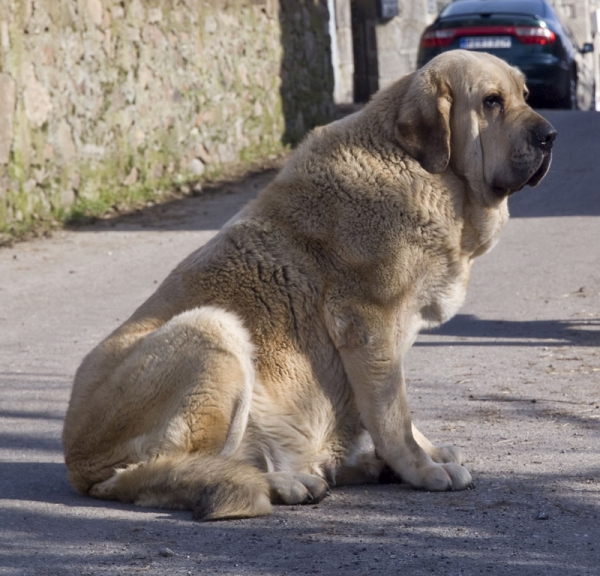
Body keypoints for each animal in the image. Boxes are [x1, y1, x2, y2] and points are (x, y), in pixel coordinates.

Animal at [63, 49, 556, 520]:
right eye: (491, 101)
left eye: (525, 95)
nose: (549, 136)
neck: (424, 172)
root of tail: (80, 468)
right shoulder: (369, 326)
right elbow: (392, 414)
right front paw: (421, 469)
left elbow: (392, 408)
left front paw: (422, 455)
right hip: (211, 330)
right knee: (170, 469)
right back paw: (287, 483)